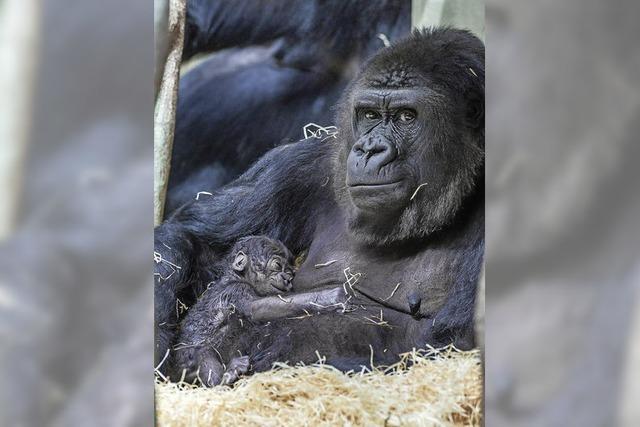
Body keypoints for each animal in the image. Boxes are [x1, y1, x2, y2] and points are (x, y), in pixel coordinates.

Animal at [156, 29, 484, 372]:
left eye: (407, 116)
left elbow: (443, 339)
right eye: (369, 114)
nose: (370, 149)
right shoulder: (304, 165)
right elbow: (197, 238)